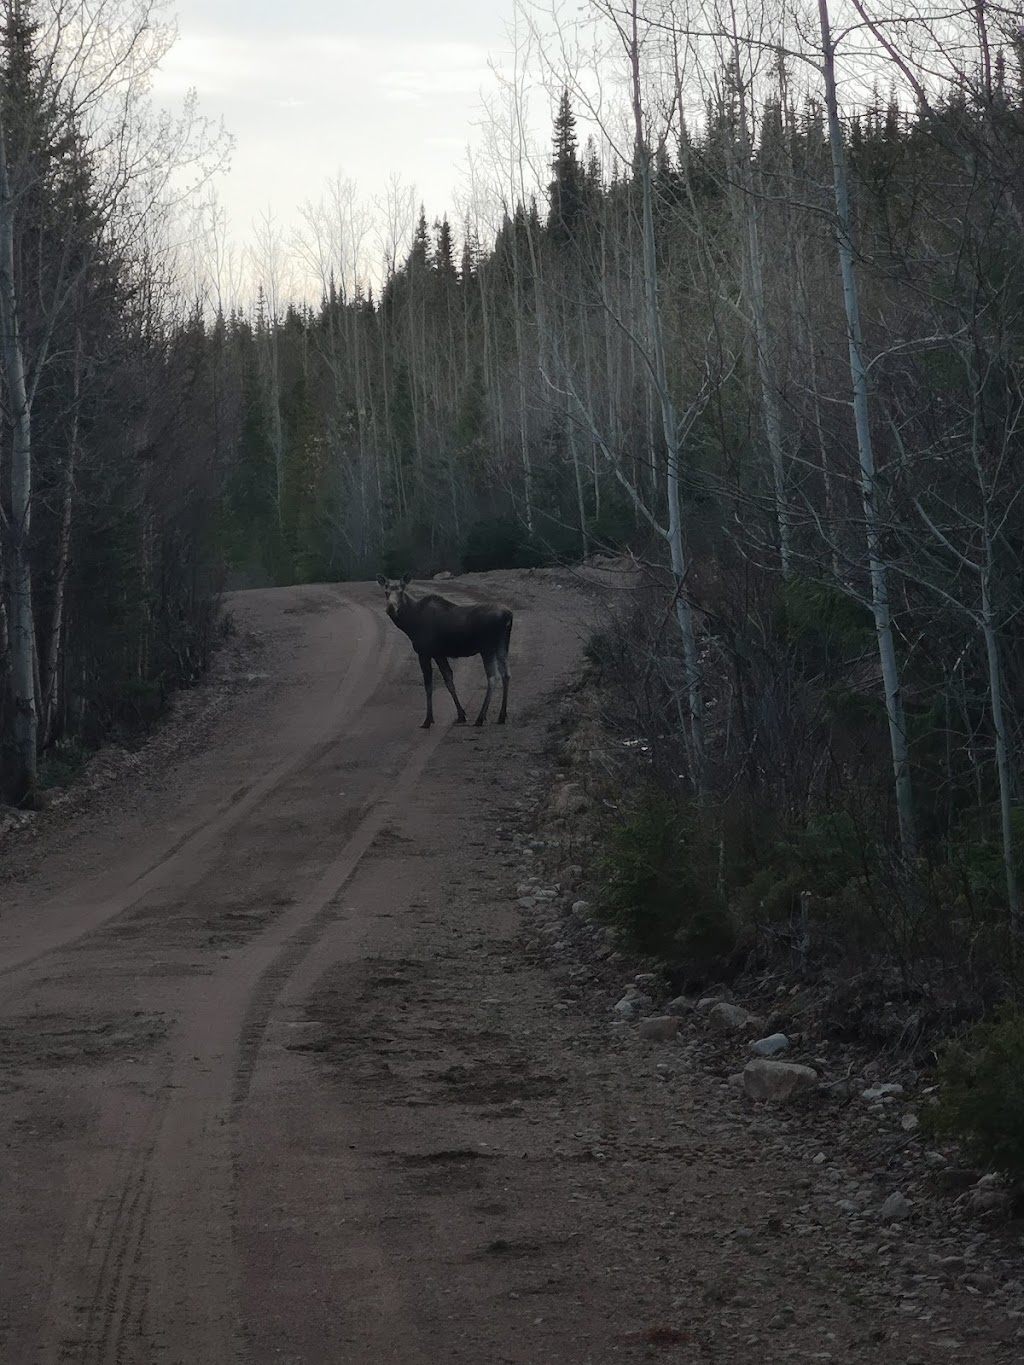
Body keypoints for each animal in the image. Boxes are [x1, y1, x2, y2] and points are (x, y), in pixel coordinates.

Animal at [376, 573, 513, 731]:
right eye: (386, 592)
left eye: (401, 591)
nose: (391, 608)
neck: (410, 624)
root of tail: (509, 615)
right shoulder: (439, 654)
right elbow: (449, 680)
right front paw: (461, 715)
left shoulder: (425, 653)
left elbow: (429, 686)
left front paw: (428, 720)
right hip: (502, 645)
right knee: (506, 674)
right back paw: (502, 716)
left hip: (487, 648)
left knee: (493, 677)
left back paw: (480, 718)